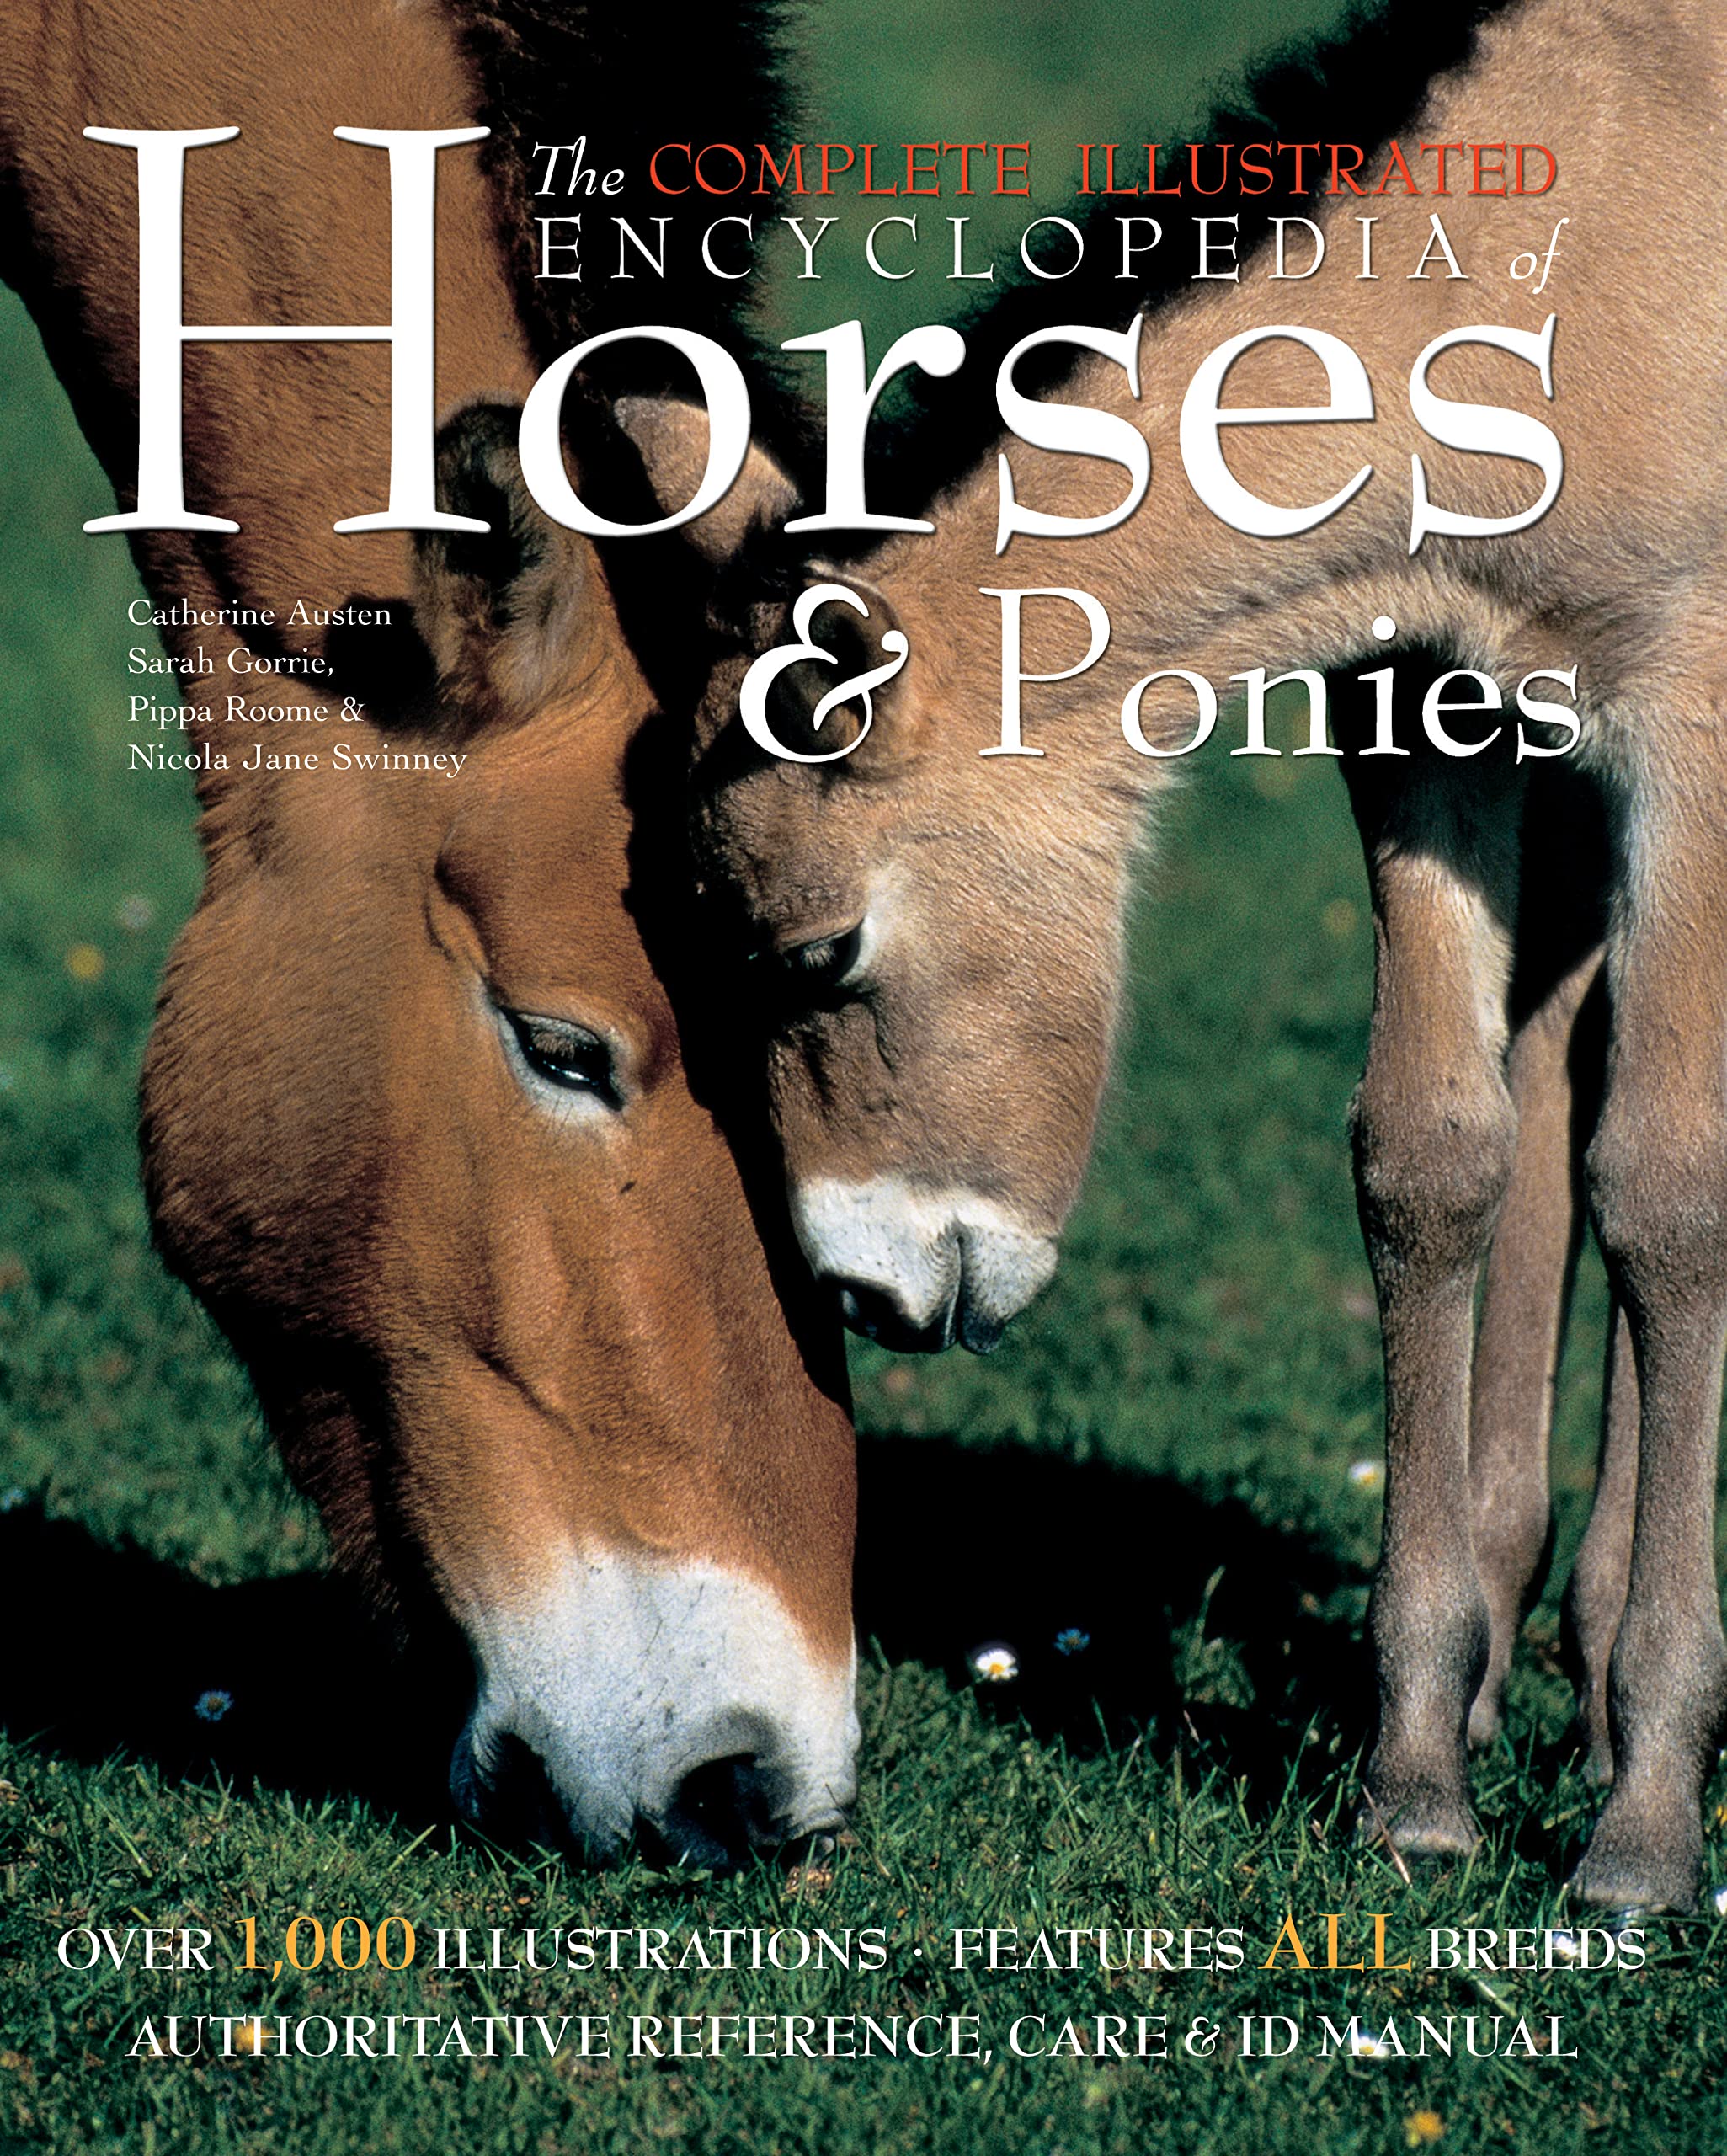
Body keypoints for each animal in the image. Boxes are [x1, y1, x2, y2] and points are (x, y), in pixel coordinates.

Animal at [629, 0, 1727, 1908]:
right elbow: (1430, 1154)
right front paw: (1413, 1777)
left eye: (818, 945)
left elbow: (1668, 1187)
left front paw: (1644, 1831)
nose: (863, 1287)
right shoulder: (1425, 691)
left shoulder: (1691, 713)